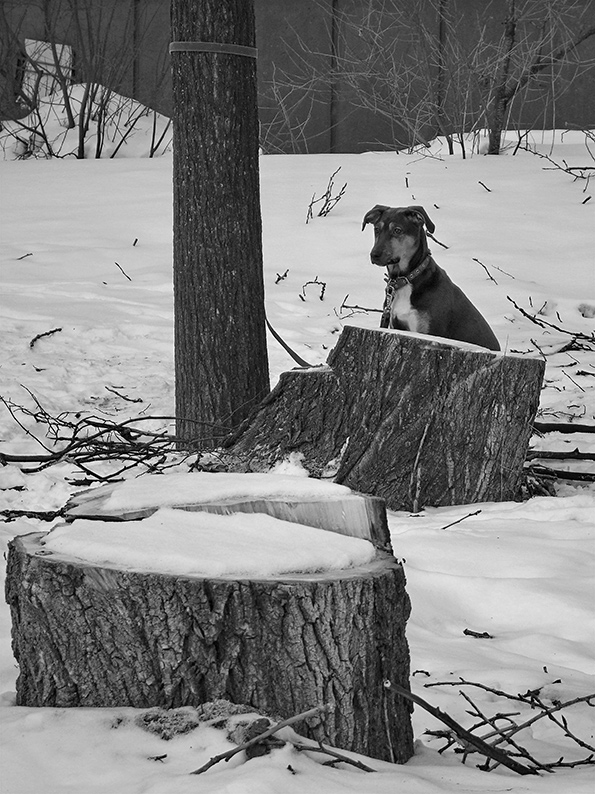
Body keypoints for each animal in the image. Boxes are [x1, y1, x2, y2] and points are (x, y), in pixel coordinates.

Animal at [364, 204, 502, 350]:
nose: (374, 255)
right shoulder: (397, 325)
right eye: (377, 229)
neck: (406, 279)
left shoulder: (430, 330)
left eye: (397, 230)